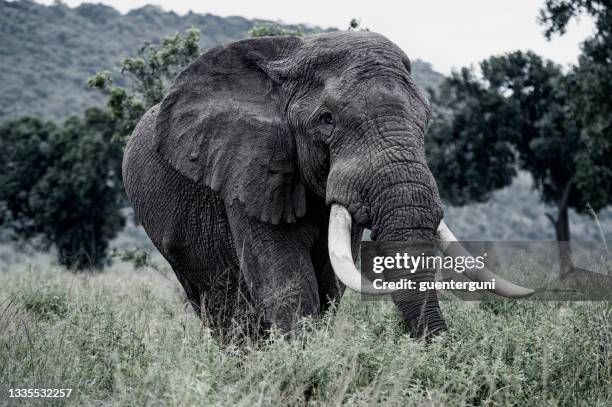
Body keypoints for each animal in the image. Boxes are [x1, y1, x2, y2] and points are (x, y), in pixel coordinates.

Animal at [122, 31, 532, 342]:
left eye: (426, 119)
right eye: (326, 120)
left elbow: (330, 282)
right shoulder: (246, 171)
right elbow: (288, 284)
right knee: (221, 307)